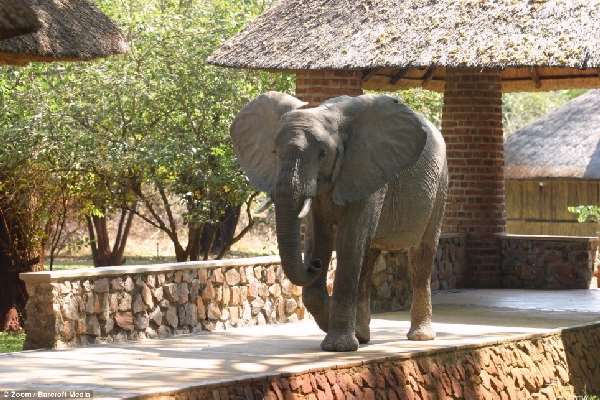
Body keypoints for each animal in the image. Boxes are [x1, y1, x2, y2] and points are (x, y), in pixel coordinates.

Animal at [232, 91, 448, 354]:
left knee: (420, 257)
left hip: (440, 184)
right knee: (368, 258)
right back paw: (363, 336)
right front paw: (341, 334)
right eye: (274, 152)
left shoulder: (366, 168)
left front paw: (338, 346)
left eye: (323, 153)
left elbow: (348, 241)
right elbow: (318, 236)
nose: (314, 264)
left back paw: (420, 337)